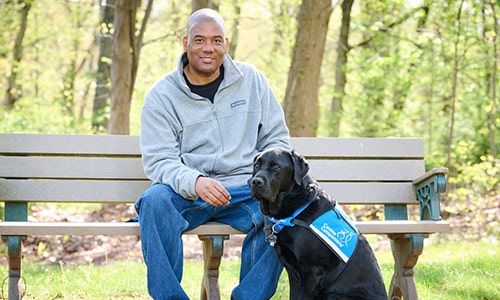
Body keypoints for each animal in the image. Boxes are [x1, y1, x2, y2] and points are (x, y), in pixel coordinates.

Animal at [252, 148, 388, 300]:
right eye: (256, 165)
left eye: (275, 166)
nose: (255, 181)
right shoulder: (293, 272)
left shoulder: (310, 271)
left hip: (331, 294)